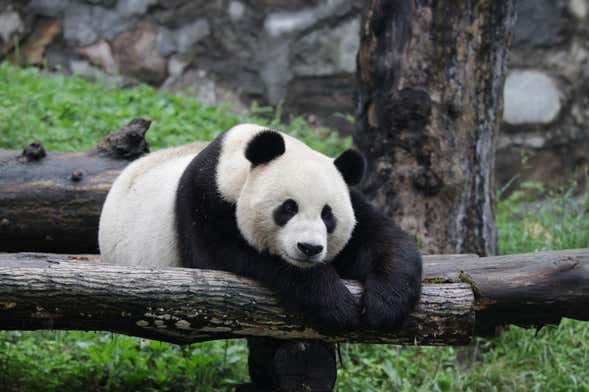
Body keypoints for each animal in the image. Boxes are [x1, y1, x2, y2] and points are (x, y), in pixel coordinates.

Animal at [100, 124, 422, 332]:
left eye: (328, 215)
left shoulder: (353, 198)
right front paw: (335, 304)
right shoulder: (202, 202)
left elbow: (384, 240)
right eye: (288, 208)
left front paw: (385, 305)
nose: (309, 248)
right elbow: (234, 256)